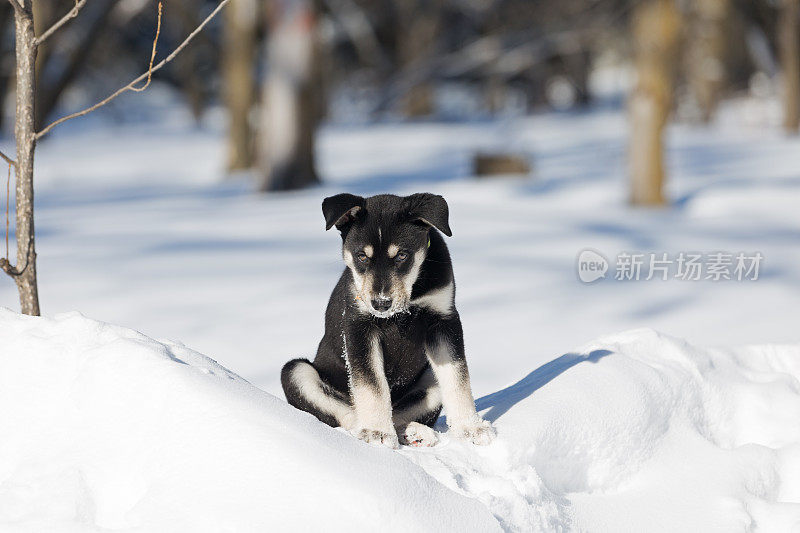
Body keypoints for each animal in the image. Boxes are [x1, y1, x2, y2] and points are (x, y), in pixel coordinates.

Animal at [282, 193, 494, 446]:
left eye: (402, 255)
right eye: (362, 256)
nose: (381, 303)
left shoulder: (443, 321)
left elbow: (457, 376)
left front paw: (470, 429)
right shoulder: (359, 327)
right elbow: (372, 383)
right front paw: (376, 432)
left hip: (429, 375)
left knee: (400, 413)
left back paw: (414, 432)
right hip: (295, 371)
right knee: (348, 415)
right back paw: (366, 429)